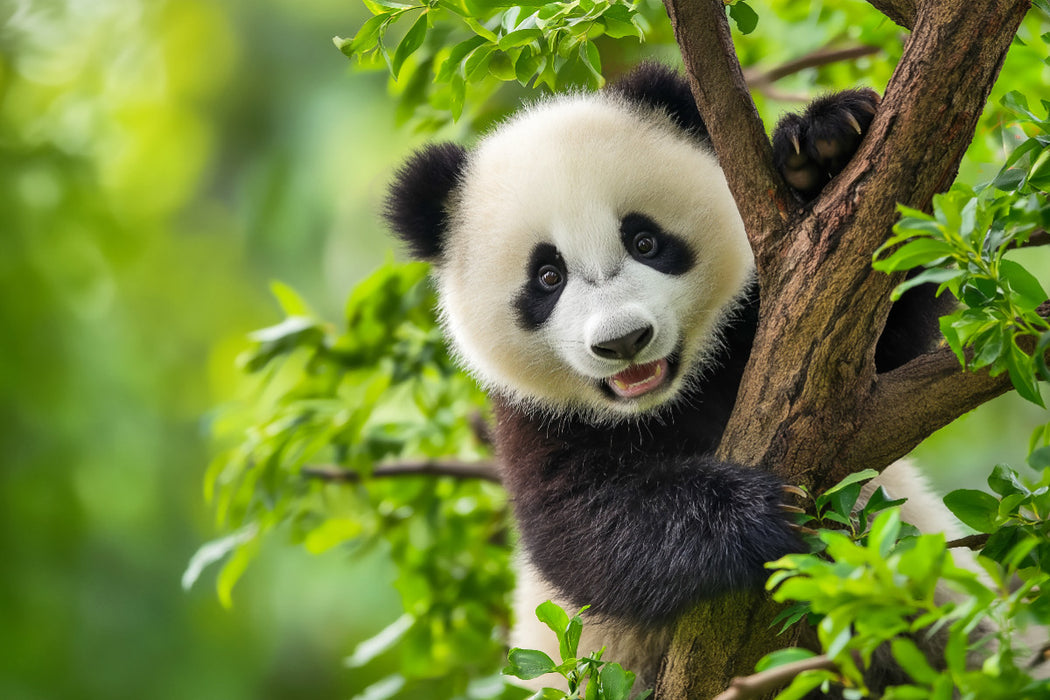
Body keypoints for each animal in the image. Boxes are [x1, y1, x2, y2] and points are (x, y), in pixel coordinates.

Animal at [383, 63, 964, 693]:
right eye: (547, 276)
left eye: (645, 241)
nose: (622, 342)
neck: (670, 403)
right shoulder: (536, 423)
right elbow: (583, 530)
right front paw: (756, 514)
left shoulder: (765, 328)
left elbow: (884, 336)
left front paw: (828, 142)